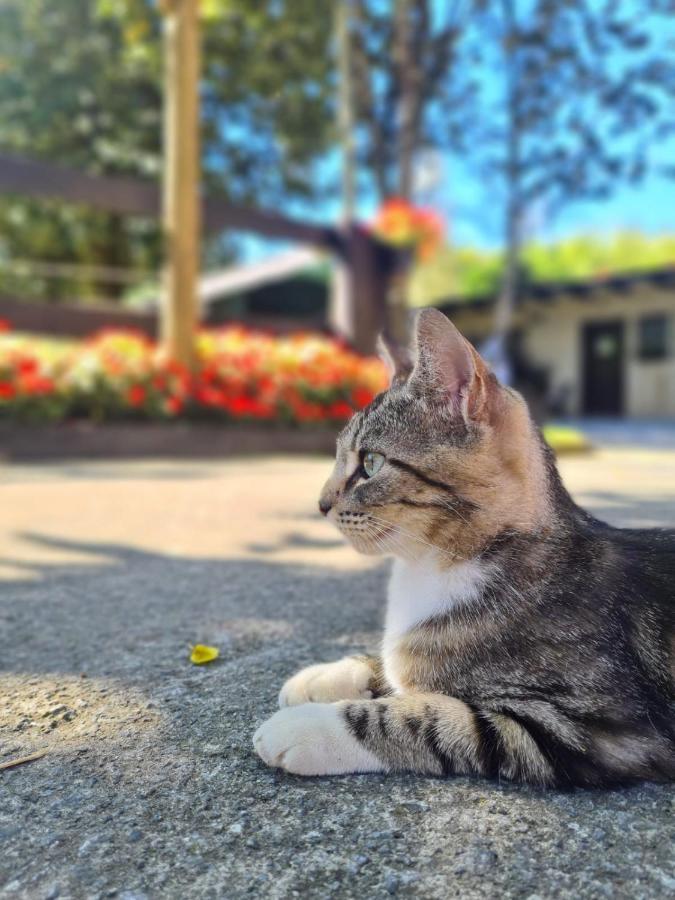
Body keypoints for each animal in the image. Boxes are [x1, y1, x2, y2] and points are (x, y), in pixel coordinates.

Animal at [254, 310, 675, 788]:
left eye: (371, 463)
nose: (321, 504)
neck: (429, 568)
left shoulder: (598, 728)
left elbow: (425, 716)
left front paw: (310, 727)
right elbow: (392, 663)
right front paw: (325, 675)